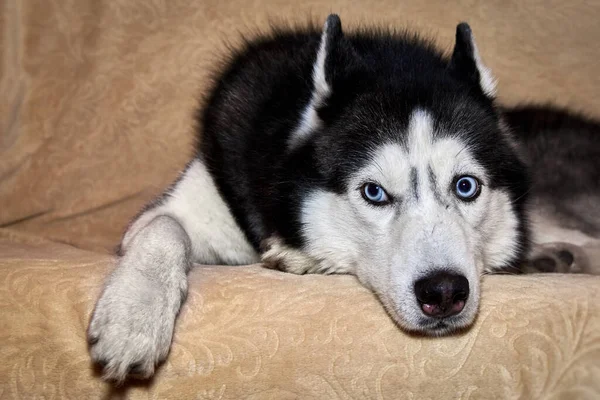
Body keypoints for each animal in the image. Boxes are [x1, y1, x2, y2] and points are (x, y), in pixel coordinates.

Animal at [88, 14, 600, 382]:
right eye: (373, 192)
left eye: (466, 186)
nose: (444, 293)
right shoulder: (186, 203)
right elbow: (164, 226)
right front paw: (133, 319)